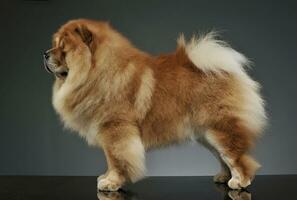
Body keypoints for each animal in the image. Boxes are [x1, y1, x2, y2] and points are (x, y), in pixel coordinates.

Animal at [44, 19, 266, 191]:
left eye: (63, 47)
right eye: (55, 44)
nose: (45, 53)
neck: (99, 72)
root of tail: (229, 71)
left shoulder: (115, 130)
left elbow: (116, 159)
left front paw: (111, 182)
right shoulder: (109, 133)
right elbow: (111, 159)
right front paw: (105, 177)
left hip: (219, 129)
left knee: (237, 156)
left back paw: (239, 181)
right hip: (206, 134)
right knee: (224, 156)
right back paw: (223, 177)